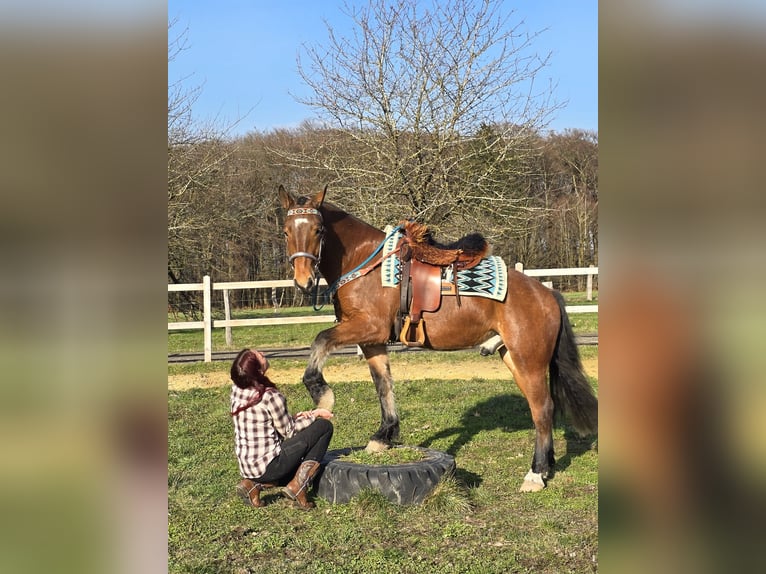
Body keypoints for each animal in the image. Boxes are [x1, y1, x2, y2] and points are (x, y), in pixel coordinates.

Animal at [278, 185, 598, 492]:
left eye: (318, 230)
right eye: (286, 231)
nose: (303, 280)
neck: (363, 262)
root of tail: (547, 293)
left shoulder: (368, 327)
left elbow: (320, 341)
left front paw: (322, 394)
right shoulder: (373, 342)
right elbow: (384, 385)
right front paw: (384, 435)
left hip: (528, 362)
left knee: (542, 410)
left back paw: (535, 474)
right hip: (513, 358)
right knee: (544, 407)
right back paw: (547, 465)